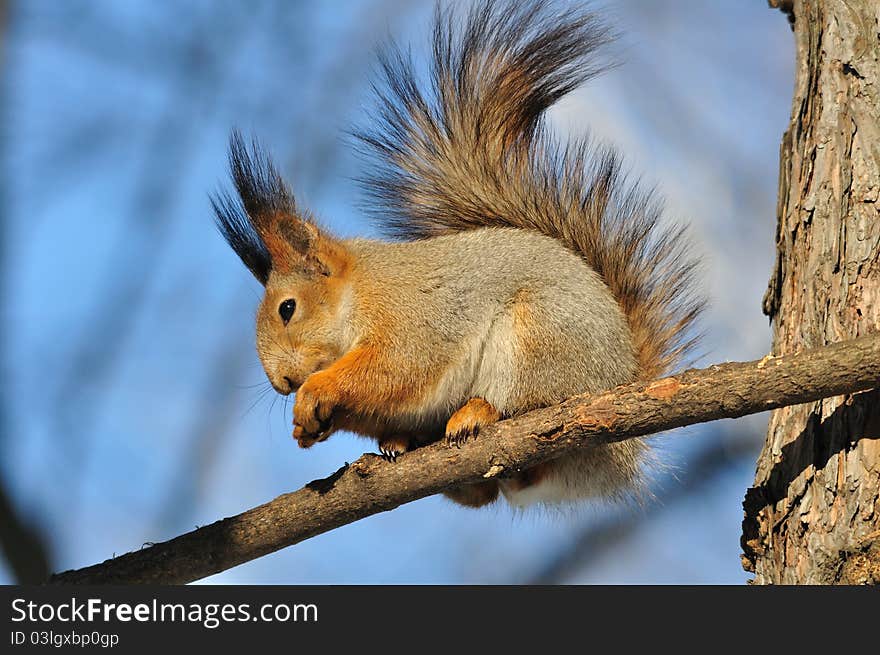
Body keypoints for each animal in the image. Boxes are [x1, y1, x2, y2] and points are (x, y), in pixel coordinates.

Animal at [211, 0, 700, 510]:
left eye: (287, 309)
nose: (282, 384)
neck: (360, 293)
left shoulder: (412, 318)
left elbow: (394, 367)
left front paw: (315, 392)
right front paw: (309, 427)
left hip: (541, 342)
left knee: (530, 401)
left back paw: (478, 412)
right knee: (494, 488)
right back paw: (410, 447)